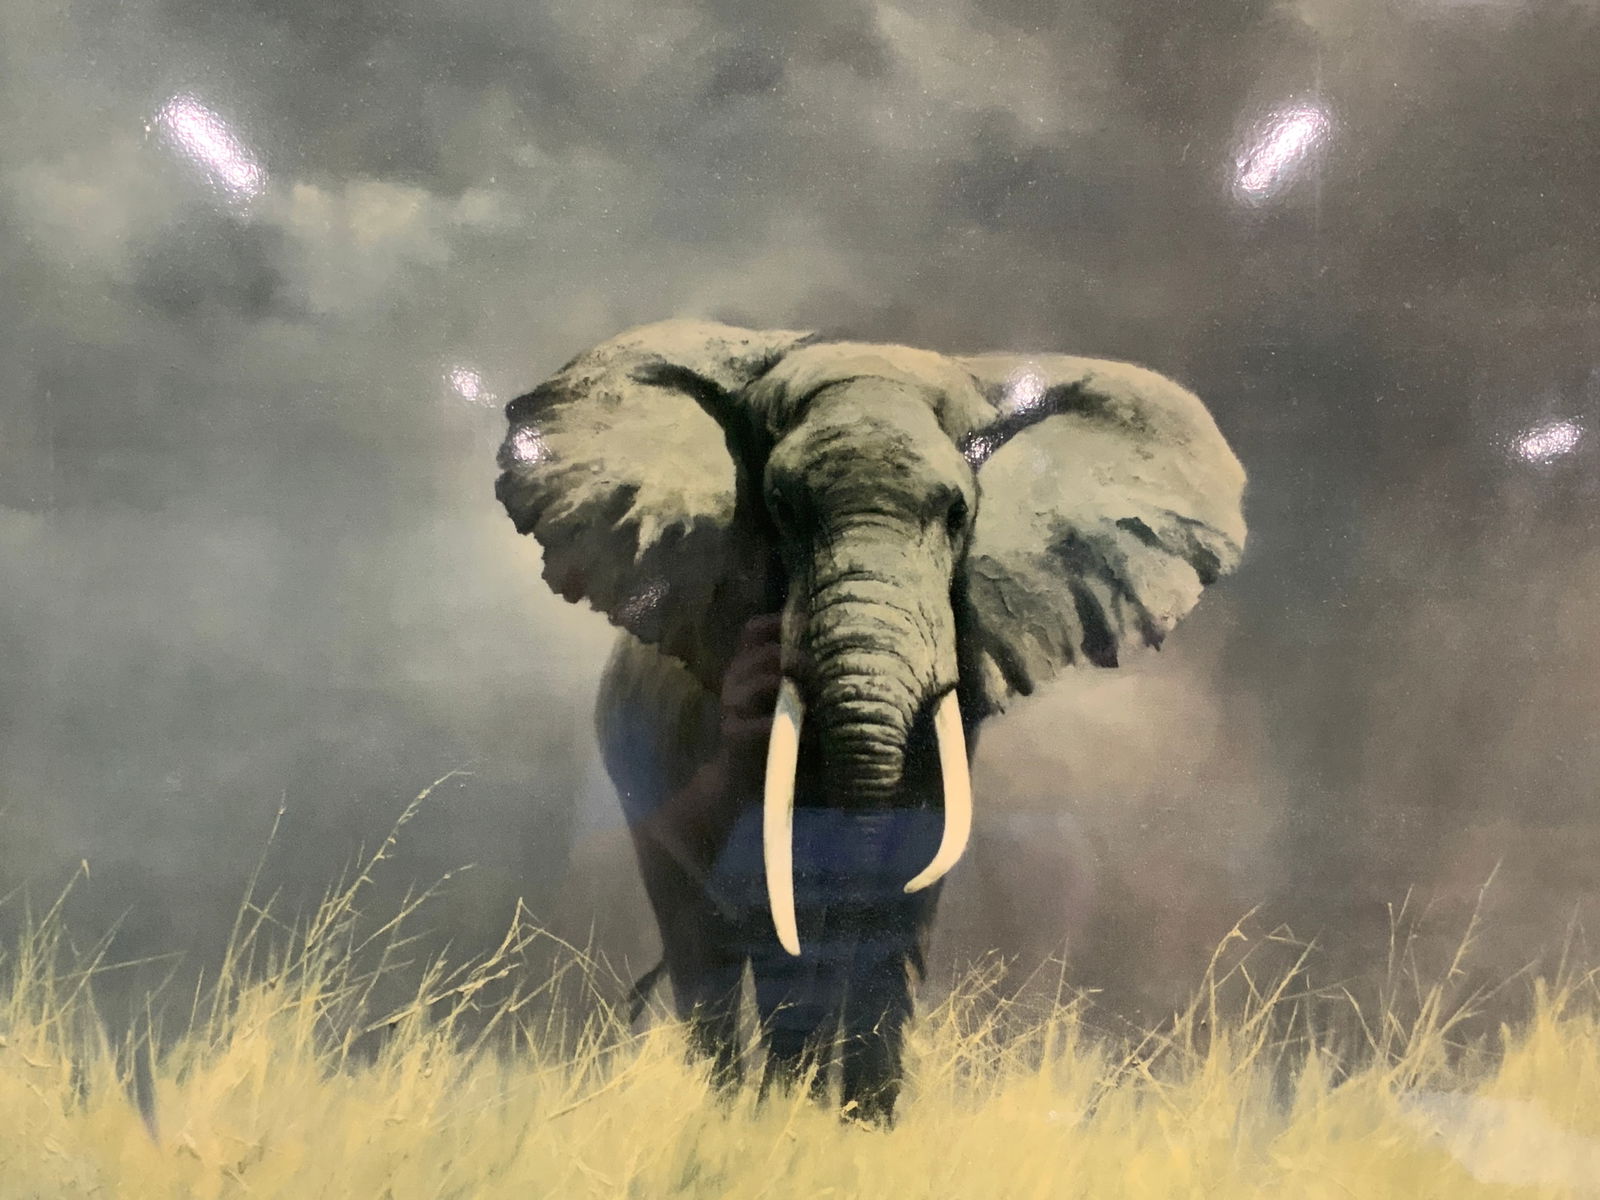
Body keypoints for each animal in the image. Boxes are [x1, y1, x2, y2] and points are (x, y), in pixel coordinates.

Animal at [495, 319, 1246, 1121]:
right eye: (780, 508)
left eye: (958, 514)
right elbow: (780, 883)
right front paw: (784, 1123)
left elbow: (901, 893)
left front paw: (861, 1129)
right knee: (705, 950)